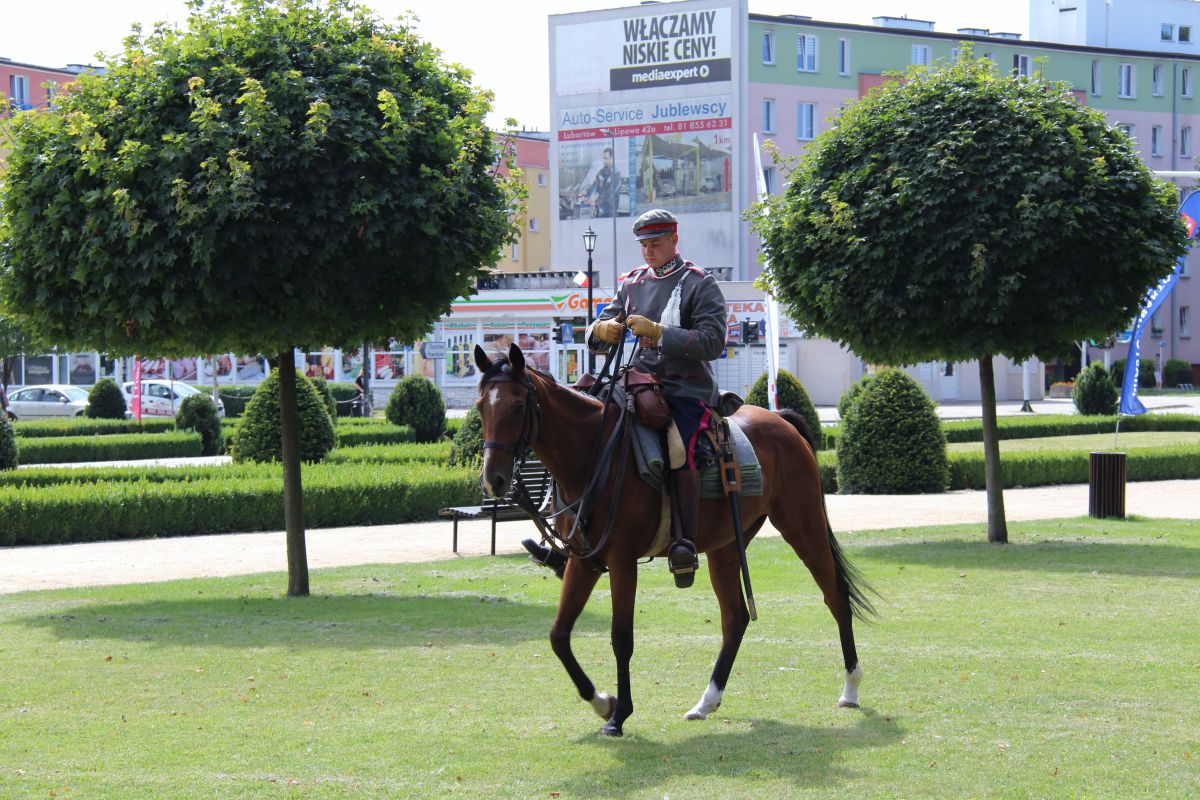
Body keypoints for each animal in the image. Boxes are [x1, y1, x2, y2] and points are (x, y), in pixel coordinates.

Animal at [472, 345, 878, 738]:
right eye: (480, 407)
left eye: (518, 405)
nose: (493, 479)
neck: (593, 453)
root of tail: (781, 421)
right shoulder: (584, 561)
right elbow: (559, 635)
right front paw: (602, 701)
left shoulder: (621, 559)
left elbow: (621, 638)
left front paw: (618, 715)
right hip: (726, 546)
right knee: (735, 617)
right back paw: (707, 701)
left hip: (802, 525)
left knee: (835, 596)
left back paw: (851, 687)